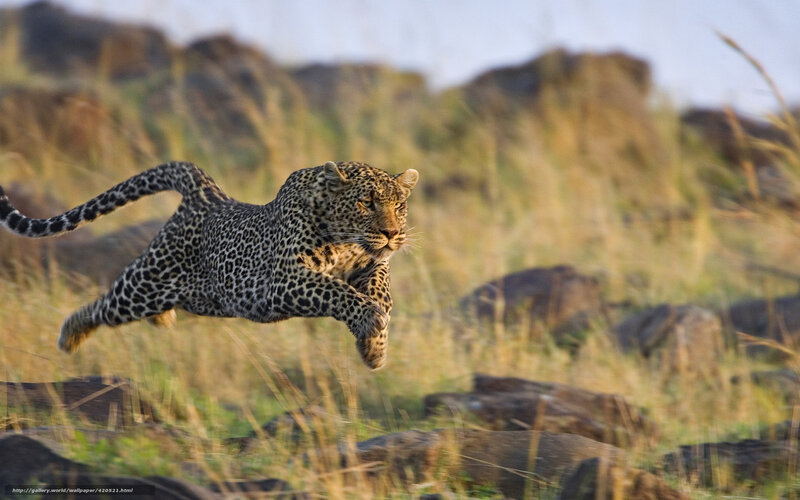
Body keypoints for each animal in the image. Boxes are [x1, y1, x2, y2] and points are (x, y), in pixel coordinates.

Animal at [0, 161, 419, 370]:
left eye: (399, 205)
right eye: (366, 203)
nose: (392, 233)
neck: (344, 238)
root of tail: (207, 193)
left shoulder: (368, 264)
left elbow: (381, 287)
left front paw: (375, 344)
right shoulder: (283, 279)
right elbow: (334, 291)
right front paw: (369, 320)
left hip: (201, 297)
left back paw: (161, 320)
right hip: (145, 285)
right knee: (105, 305)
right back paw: (70, 334)